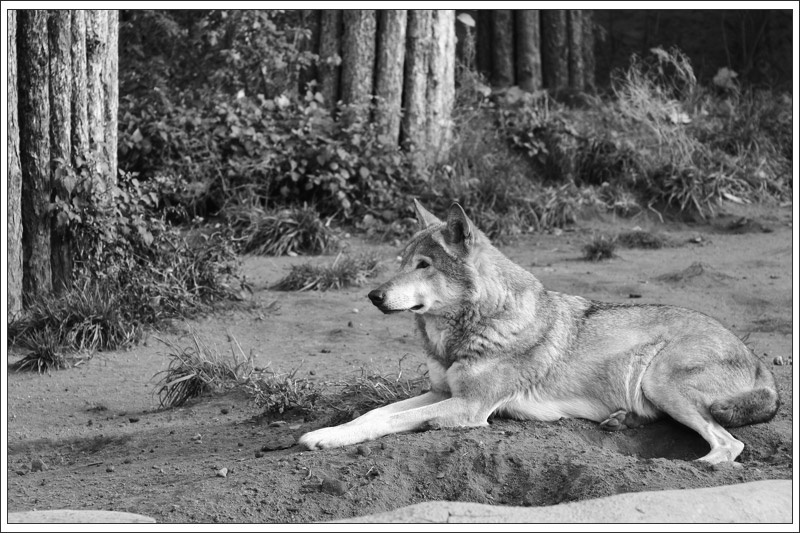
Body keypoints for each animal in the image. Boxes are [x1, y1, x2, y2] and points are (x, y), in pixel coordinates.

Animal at [298, 200, 779, 464]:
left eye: (424, 266)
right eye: (401, 262)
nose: (374, 295)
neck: (470, 330)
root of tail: (758, 362)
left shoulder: (469, 408)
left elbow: (390, 421)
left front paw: (325, 438)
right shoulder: (441, 392)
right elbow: (374, 413)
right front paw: (331, 431)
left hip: (660, 379)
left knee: (730, 446)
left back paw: (696, 466)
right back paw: (618, 420)